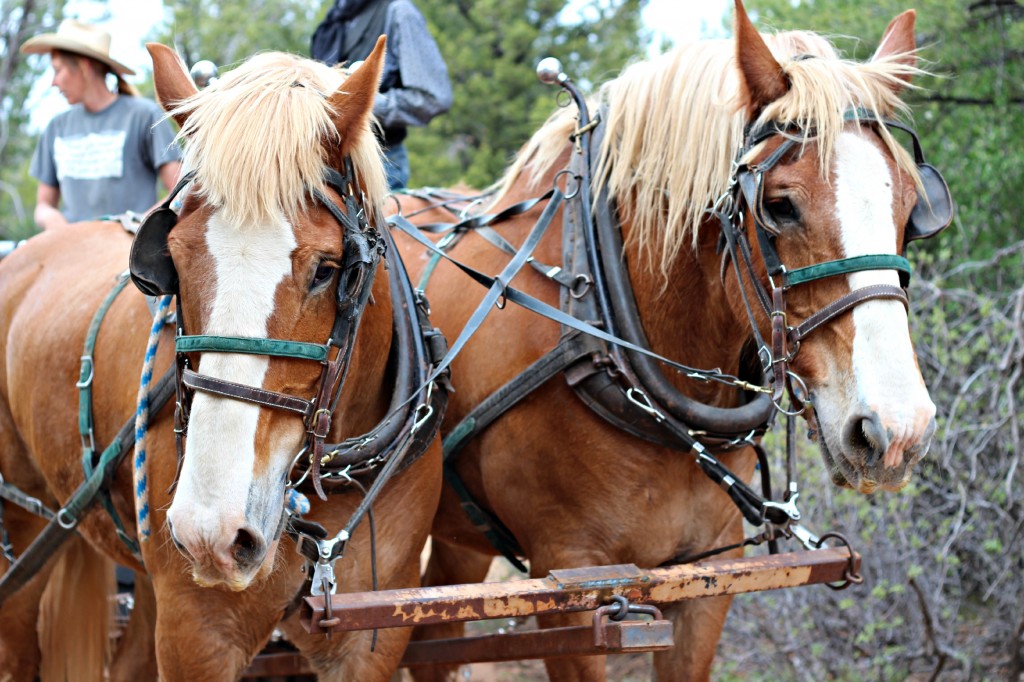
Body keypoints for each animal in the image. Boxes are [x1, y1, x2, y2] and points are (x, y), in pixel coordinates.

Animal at [0, 38, 440, 679]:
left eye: (328, 269)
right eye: (173, 263)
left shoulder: (372, 635)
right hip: (24, 517)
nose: (211, 529)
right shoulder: (197, 634)